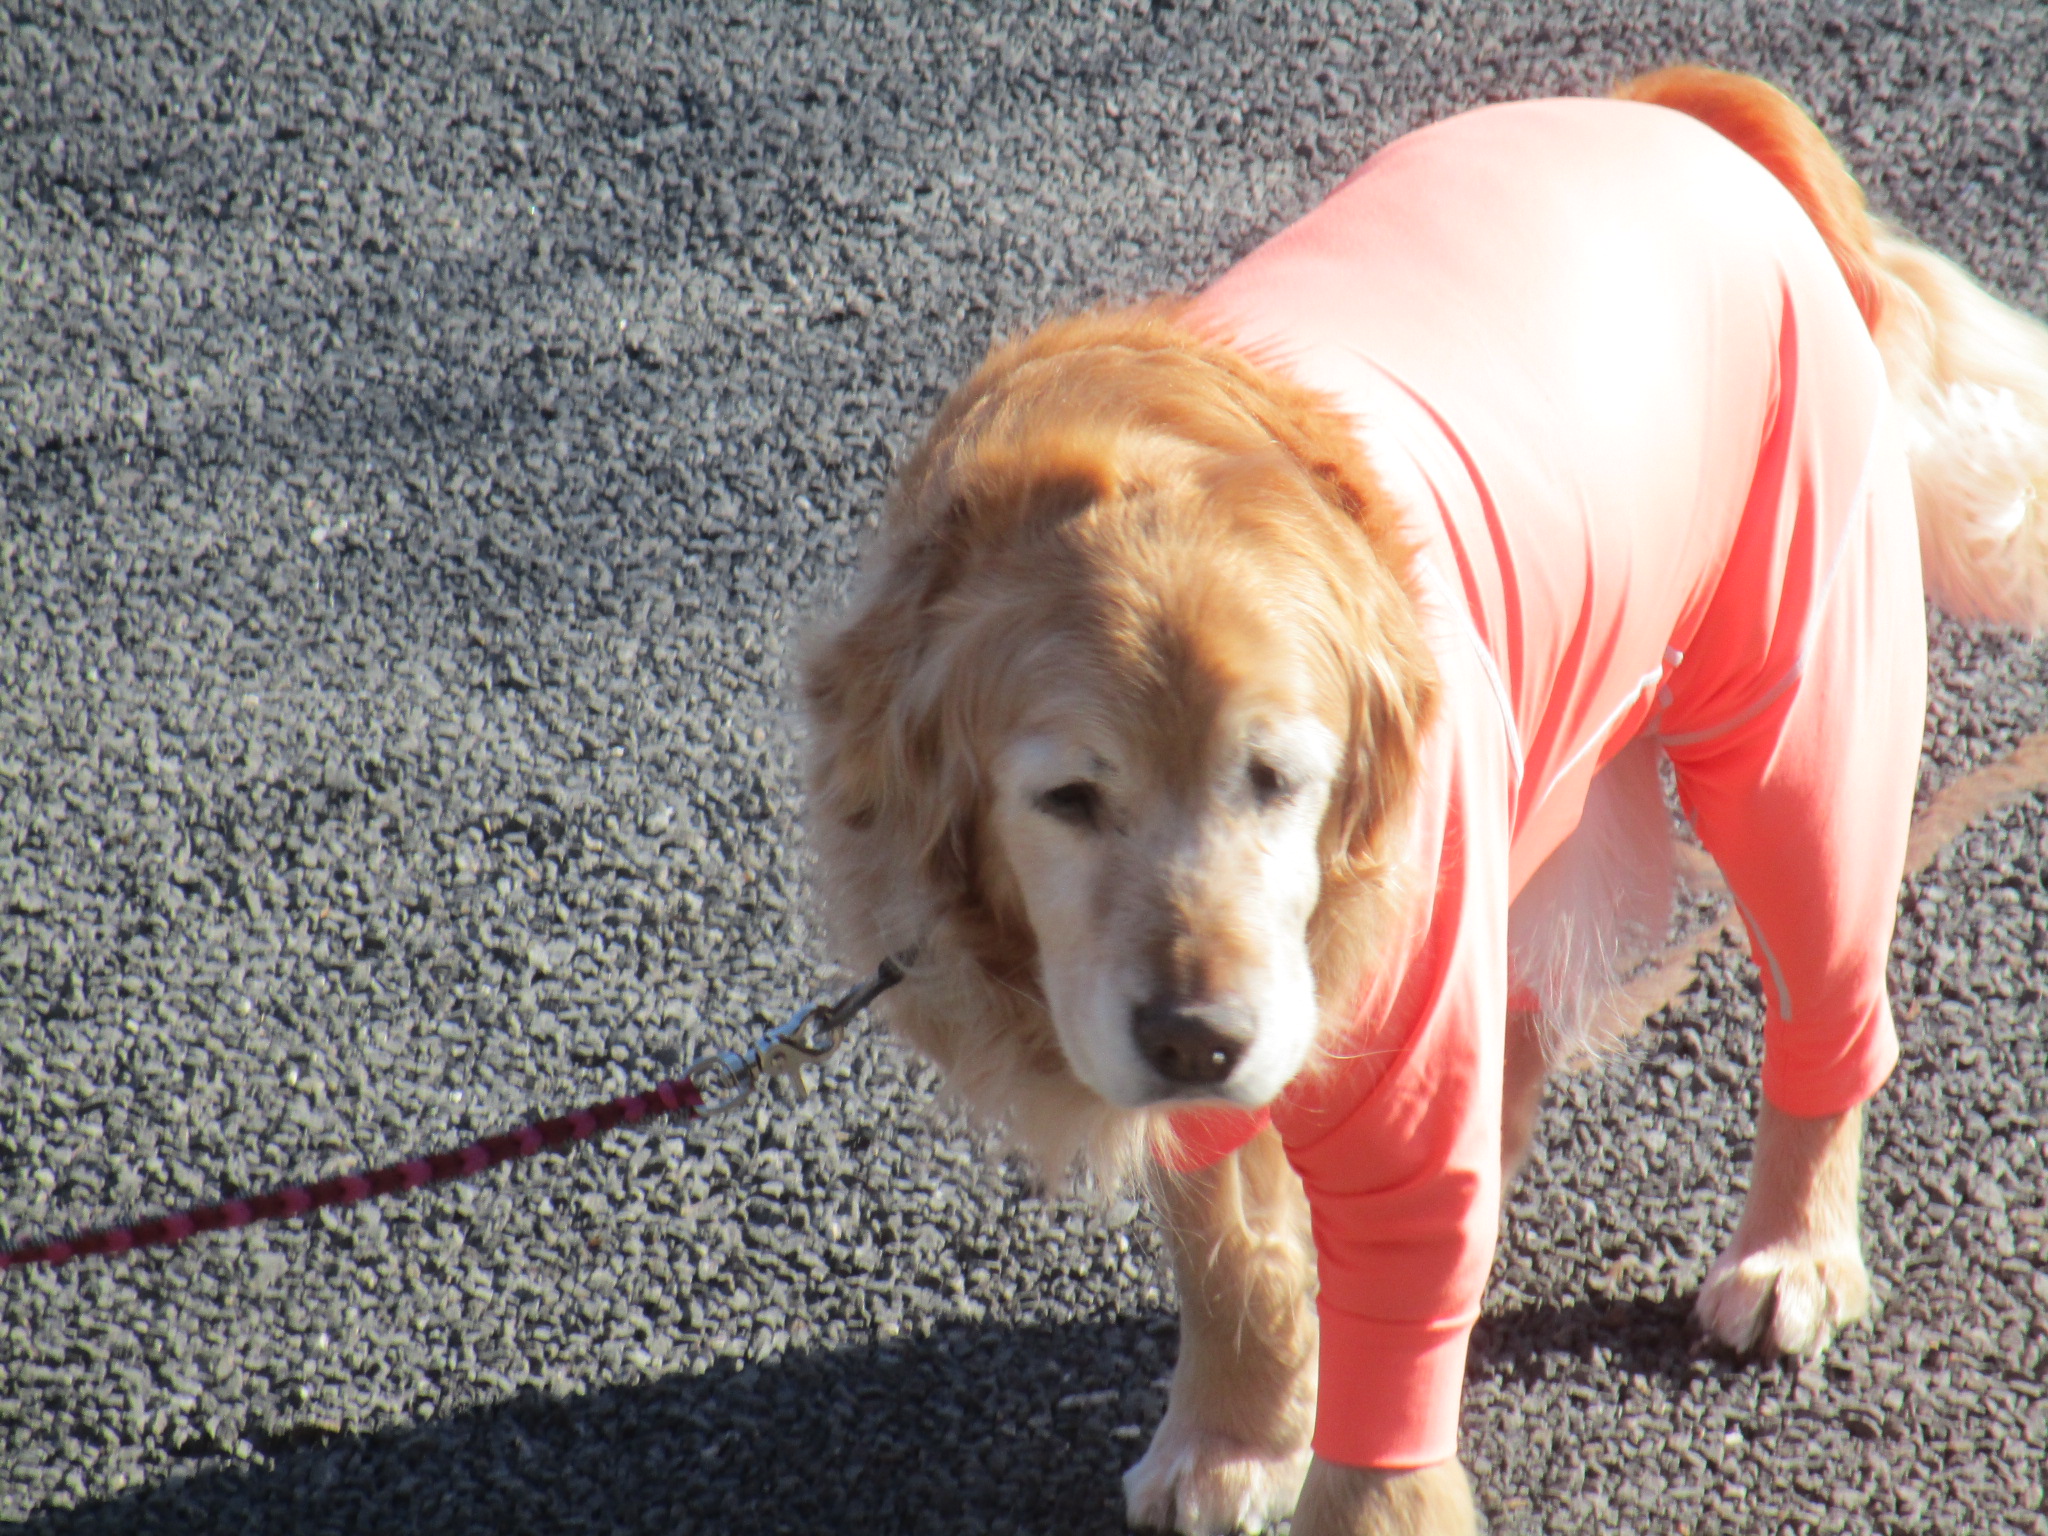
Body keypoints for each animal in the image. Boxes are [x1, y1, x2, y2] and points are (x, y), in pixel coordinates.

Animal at [801, 67, 2048, 1536]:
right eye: (1067, 796)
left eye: (1277, 777)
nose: (1195, 1039)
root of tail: (1670, 107)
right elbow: (1227, 1240)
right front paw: (1233, 1432)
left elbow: (1384, 1394)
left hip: (1798, 727)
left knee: (1829, 1012)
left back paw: (1796, 1249)